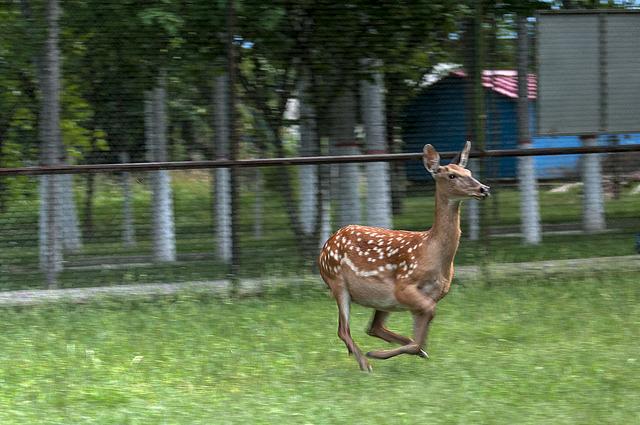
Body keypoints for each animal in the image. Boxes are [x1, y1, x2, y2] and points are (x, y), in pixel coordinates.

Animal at [318, 142, 490, 372]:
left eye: (469, 172)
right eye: (452, 175)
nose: (483, 189)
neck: (431, 252)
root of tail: (327, 244)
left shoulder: (429, 296)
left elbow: (419, 338)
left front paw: (407, 352)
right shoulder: (404, 286)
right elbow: (423, 328)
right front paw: (378, 354)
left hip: (382, 300)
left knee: (374, 327)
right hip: (337, 280)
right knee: (343, 329)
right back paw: (366, 363)